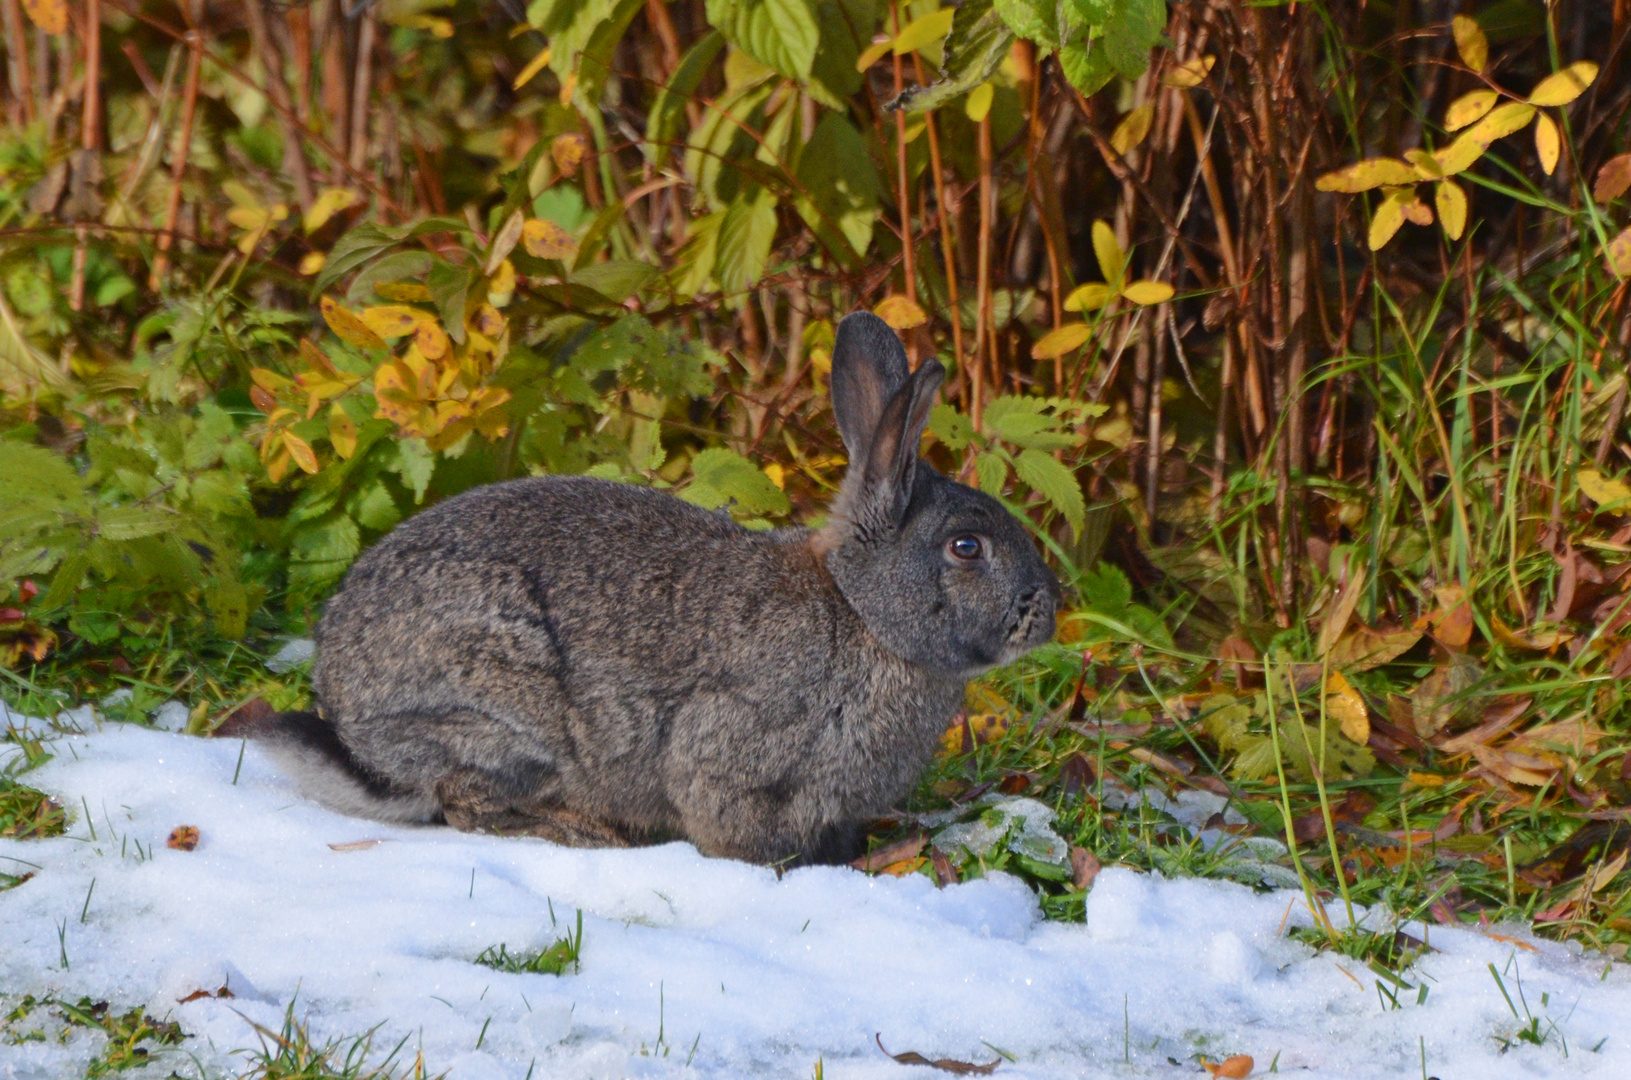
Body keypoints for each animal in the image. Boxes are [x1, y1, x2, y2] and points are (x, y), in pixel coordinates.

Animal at [236, 311, 1063, 861]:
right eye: (965, 547)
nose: (1047, 612)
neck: (859, 609)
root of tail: (350, 725)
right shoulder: (731, 744)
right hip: (498, 708)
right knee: (466, 802)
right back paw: (580, 831)